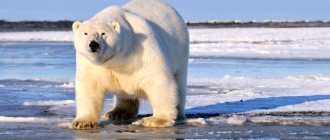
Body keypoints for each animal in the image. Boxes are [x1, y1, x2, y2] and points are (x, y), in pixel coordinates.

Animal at [71, 0, 189, 130]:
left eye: (103, 33)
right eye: (85, 33)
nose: (93, 45)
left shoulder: (142, 50)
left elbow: (157, 79)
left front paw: (157, 119)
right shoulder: (90, 64)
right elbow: (90, 86)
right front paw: (83, 122)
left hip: (180, 52)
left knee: (179, 82)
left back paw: (178, 113)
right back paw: (118, 112)